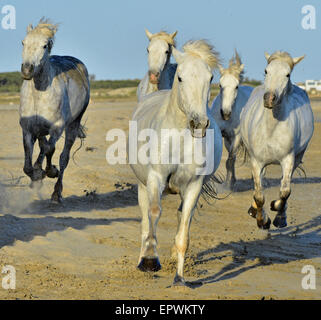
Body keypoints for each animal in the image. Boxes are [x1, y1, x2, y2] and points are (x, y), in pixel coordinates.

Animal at [19, 20, 90, 204]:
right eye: (23, 42)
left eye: (45, 45)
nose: (27, 70)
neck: (38, 95)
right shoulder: (27, 129)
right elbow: (27, 165)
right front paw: (36, 175)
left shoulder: (57, 128)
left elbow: (50, 149)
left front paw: (50, 171)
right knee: (43, 145)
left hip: (73, 125)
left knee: (63, 157)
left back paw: (56, 194)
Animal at [129, 39, 221, 284]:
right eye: (180, 77)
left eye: (210, 78)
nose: (199, 124)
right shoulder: (155, 178)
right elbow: (153, 213)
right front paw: (149, 261)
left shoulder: (194, 186)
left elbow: (184, 228)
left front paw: (179, 278)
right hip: (142, 185)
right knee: (144, 220)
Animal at [210, 51, 252, 189]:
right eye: (220, 85)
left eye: (236, 86)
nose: (225, 113)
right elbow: (228, 160)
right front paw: (229, 182)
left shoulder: (237, 137)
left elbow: (230, 160)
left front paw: (228, 185)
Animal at [240, 51, 312, 229]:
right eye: (266, 71)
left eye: (287, 74)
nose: (269, 98)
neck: (271, 130)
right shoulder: (256, 161)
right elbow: (259, 195)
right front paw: (262, 221)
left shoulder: (288, 160)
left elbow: (285, 192)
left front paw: (277, 214)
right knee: (260, 182)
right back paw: (255, 210)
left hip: (297, 158)